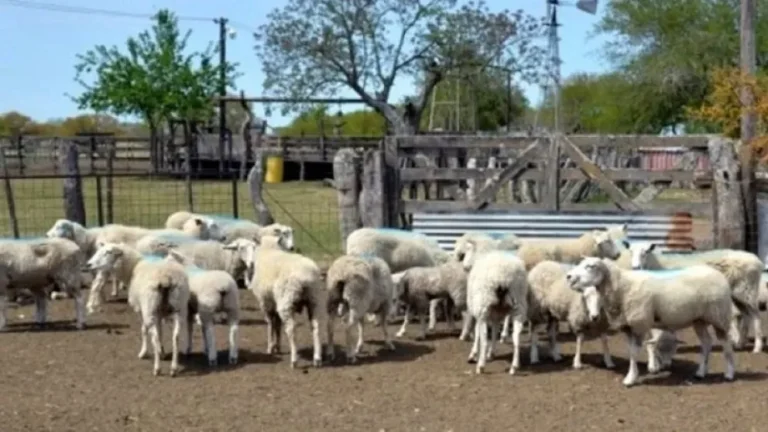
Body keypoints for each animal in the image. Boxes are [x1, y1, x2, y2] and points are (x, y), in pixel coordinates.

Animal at [83, 243, 190, 377]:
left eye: (108, 252)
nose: (88, 264)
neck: (132, 269)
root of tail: (165, 278)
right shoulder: (159, 313)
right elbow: (160, 331)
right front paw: (162, 351)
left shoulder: (140, 309)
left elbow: (144, 330)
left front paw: (144, 352)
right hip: (179, 308)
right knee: (175, 337)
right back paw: (174, 368)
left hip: (149, 308)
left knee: (154, 337)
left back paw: (157, 368)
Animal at [223, 239, 324, 368]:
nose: (250, 263)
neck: (269, 249)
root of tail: (305, 277)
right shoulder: (274, 302)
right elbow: (278, 324)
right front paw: (277, 346)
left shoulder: (265, 302)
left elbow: (271, 323)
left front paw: (270, 347)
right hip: (314, 300)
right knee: (316, 326)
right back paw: (317, 358)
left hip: (286, 301)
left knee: (291, 328)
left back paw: (294, 360)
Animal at [461, 243, 528, 375]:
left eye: (466, 252)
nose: (464, 266)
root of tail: (503, 276)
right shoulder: (496, 313)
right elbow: (495, 331)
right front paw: (491, 353)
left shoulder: (479, 312)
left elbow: (478, 333)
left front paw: (473, 354)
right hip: (518, 303)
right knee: (516, 336)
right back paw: (514, 366)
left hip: (484, 303)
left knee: (484, 337)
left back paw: (481, 366)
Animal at [565, 257, 735, 386]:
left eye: (590, 266)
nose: (568, 276)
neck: (623, 287)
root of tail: (718, 274)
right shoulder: (629, 325)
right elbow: (631, 352)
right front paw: (633, 375)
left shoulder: (639, 323)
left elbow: (634, 352)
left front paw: (630, 379)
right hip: (699, 320)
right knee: (706, 343)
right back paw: (700, 373)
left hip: (719, 316)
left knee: (726, 344)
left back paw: (729, 373)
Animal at [627, 241, 764, 353]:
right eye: (631, 252)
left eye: (645, 252)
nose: (635, 268)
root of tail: (756, 260)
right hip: (739, 294)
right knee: (746, 314)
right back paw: (740, 344)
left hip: (747, 290)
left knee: (756, 316)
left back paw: (757, 347)